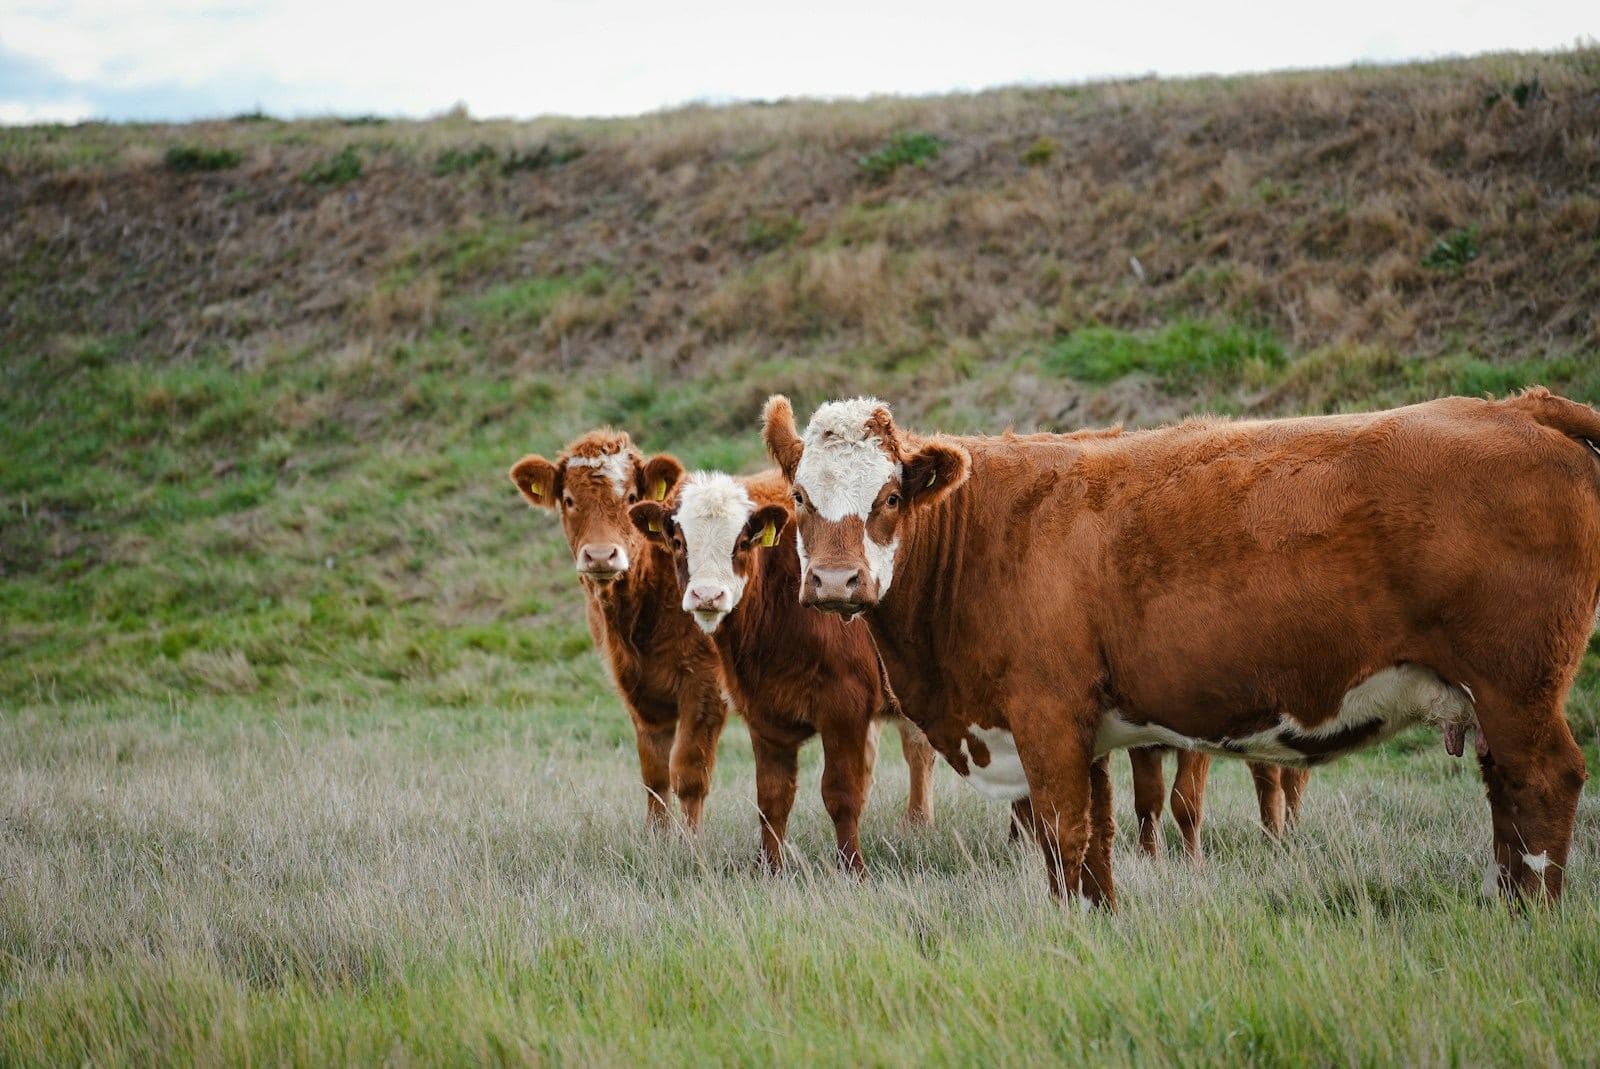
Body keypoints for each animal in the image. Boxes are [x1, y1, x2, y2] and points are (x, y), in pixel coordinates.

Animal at [509, 430, 728, 832]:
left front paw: (691, 844)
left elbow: (689, 775)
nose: (599, 555)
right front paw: (656, 839)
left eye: (630, 498)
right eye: (568, 499)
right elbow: (655, 776)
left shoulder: (706, 685)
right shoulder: (639, 691)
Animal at [630, 470, 937, 874]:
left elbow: (841, 793)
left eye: (742, 542)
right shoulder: (763, 714)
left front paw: (852, 868)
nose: (707, 596)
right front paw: (770, 869)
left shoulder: (845, 710)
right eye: (679, 542)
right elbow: (772, 797)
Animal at [1127, 748, 1312, 856]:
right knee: (1267, 779)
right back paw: (1270, 838)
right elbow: (1146, 802)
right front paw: (1149, 859)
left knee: (1293, 779)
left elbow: (1185, 802)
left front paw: (1194, 865)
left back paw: (1290, 836)